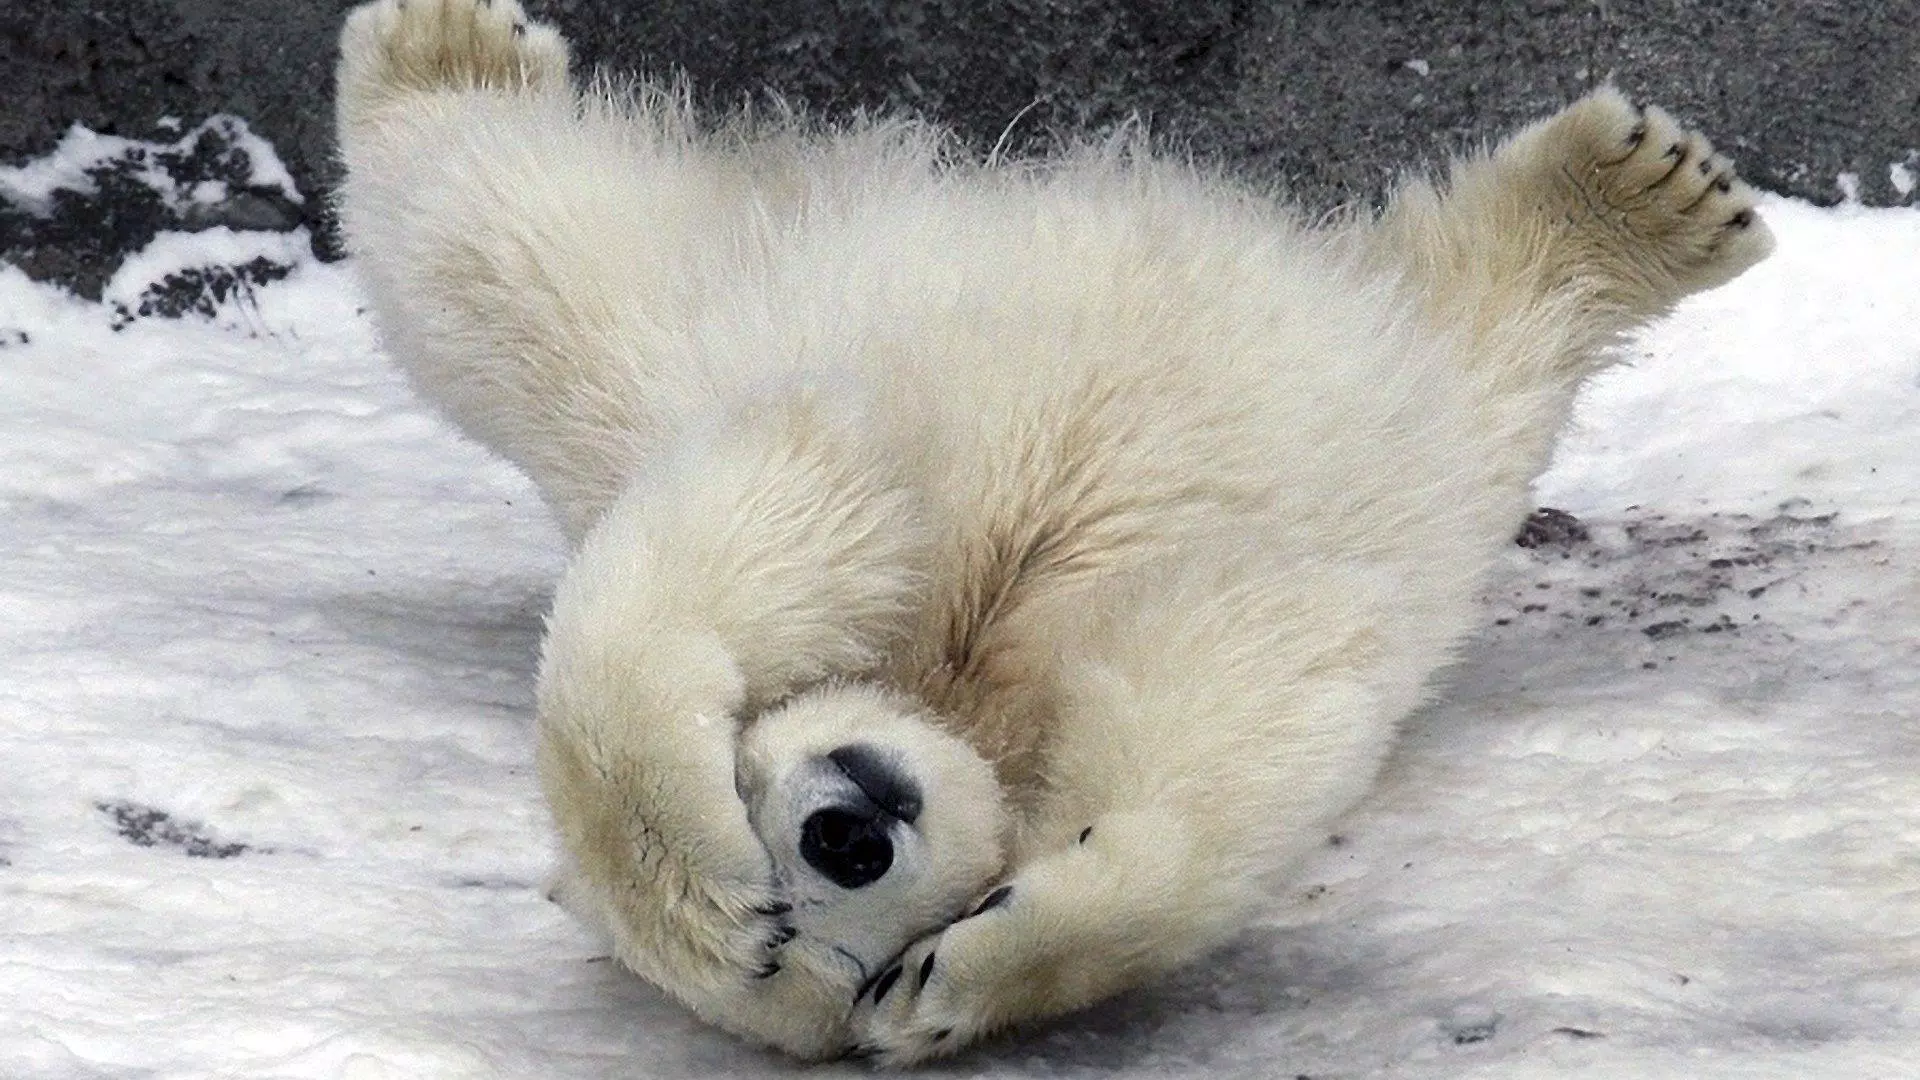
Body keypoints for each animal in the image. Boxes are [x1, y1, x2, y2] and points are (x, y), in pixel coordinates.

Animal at [334, 0, 1772, 1065]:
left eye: (764, 833)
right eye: (825, 960)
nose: (847, 828)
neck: (959, 680)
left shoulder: (863, 481)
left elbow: (774, 528)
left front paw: (692, 861)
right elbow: (1226, 699)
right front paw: (990, 962)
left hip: (695, 328)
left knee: (514, 260)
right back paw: (1639, 204)